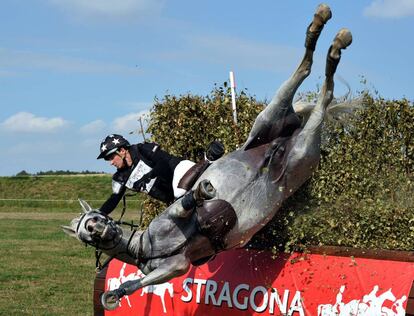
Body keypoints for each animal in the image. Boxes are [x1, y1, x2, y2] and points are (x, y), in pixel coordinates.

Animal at [62, 4, 352, 312]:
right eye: (84, 229)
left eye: (92, 218)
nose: (99, 228)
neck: (142, 246)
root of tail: (282, 143)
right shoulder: (176, 265)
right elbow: (140, 281)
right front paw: (115, 294)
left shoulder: (176, 216)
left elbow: (188, 201)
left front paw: (202, 191)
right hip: (296, 154)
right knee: (321, 93)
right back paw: (334, 41)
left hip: (270, 129)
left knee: (313, 81)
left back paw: (326, 29)